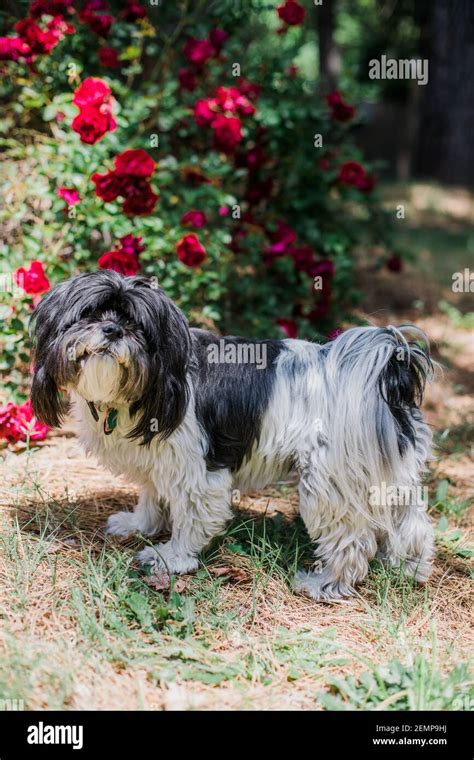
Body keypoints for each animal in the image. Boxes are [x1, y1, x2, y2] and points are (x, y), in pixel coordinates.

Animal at [29, 272, 436, 600]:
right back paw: (410, 567)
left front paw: (171, 556)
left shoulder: (195, 471)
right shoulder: (159, 460)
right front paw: (139, 525)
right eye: (90, 313)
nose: (113, 330)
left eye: (138, 325)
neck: (153, 380)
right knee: (411, 524)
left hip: (329, 482)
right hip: (388, 473)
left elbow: (190, 518)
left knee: (352, 541)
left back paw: (328, 583)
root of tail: (385, 376)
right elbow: (152, 496)